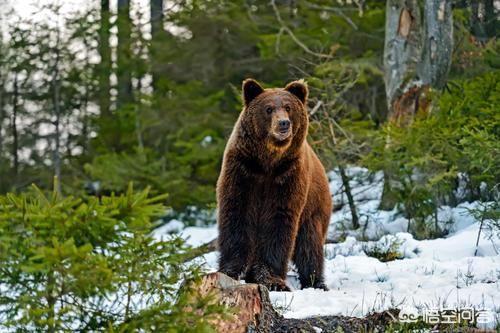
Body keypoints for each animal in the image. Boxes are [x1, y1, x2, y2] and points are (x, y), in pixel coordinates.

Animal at [216, 78, 330, 290]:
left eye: (288, 107)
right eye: (268, 109)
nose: (283, 123)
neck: (268, 161)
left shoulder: (287, 175)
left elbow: (279, 221)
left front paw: (272, 279)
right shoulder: (243, 170)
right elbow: (236, 213)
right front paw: (230, 270)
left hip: (314, 209)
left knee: (309, 246)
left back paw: (316, 282)